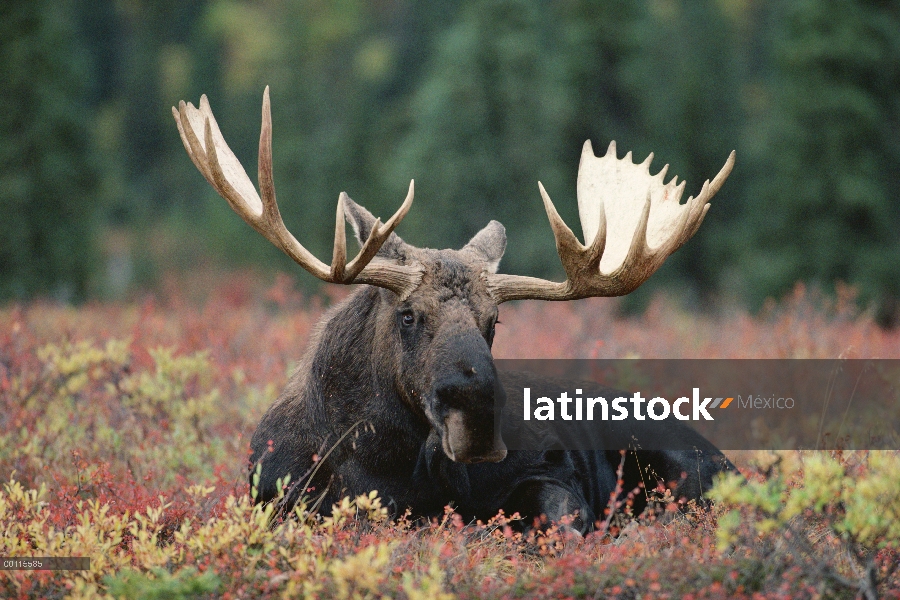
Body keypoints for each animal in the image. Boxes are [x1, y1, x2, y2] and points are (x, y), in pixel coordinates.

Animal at [174, 88, 740, 528]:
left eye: (494, 322)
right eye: (408, 314)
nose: (476, 414)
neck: (377, 464)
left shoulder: (551, 469)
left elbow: (560, 516)